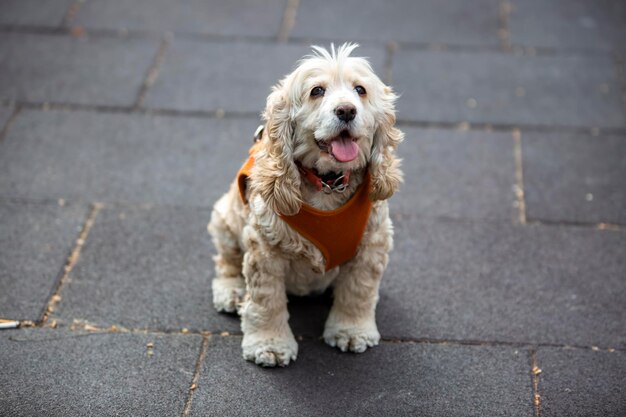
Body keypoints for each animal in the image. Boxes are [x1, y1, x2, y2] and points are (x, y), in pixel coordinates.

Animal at [207, 44, 402, 366]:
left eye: (360, 90)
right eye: (317, 91)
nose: (346, 110)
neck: (328, 182)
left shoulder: (373, 242)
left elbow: (358, 290)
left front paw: (352, 331)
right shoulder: (264, 248)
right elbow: (266, 300)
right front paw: (269, 344)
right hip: (225, 218)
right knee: (227, 262)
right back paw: (231, 291)